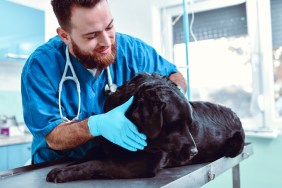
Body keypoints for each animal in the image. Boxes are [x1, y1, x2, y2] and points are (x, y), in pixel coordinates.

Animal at [46, 71, 245, 182]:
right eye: (175, 125)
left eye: (190, 124)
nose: (193, 153)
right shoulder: (106, 147)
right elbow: (85, 158)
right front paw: (62, 168)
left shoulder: (142, 163)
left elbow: (97, 163)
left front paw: (63, 173)